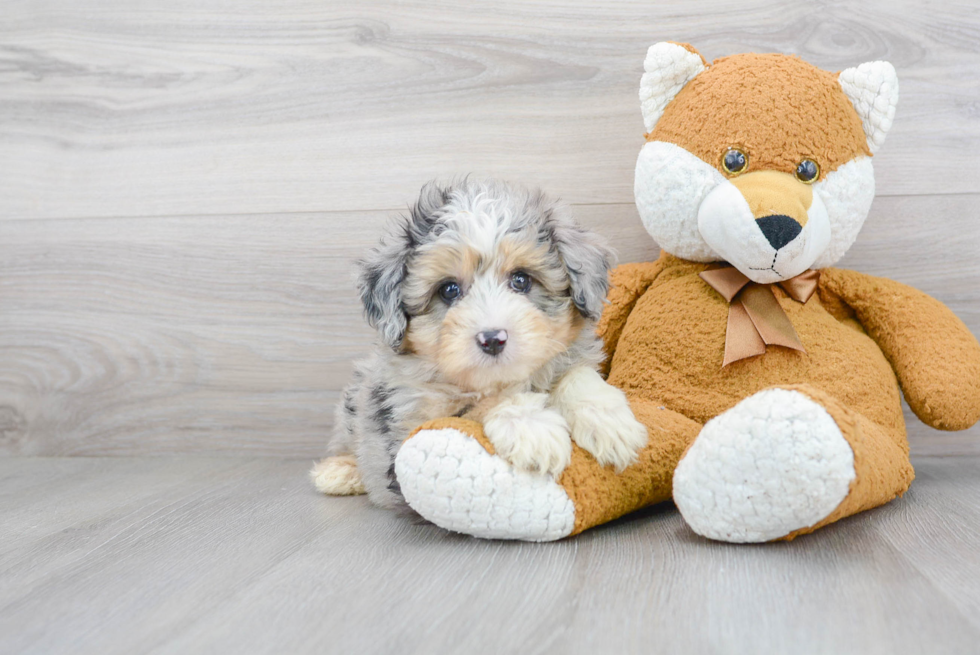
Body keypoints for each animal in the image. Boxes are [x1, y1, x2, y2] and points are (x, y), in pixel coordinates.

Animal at [314, 181, 648, 512]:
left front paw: (609, 423)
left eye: (521, 280)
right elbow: (480, 404)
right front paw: (533, 428)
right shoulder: (411, 424)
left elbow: (577, 375)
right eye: (449, 290)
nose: (493, 339)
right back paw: (338, 472)